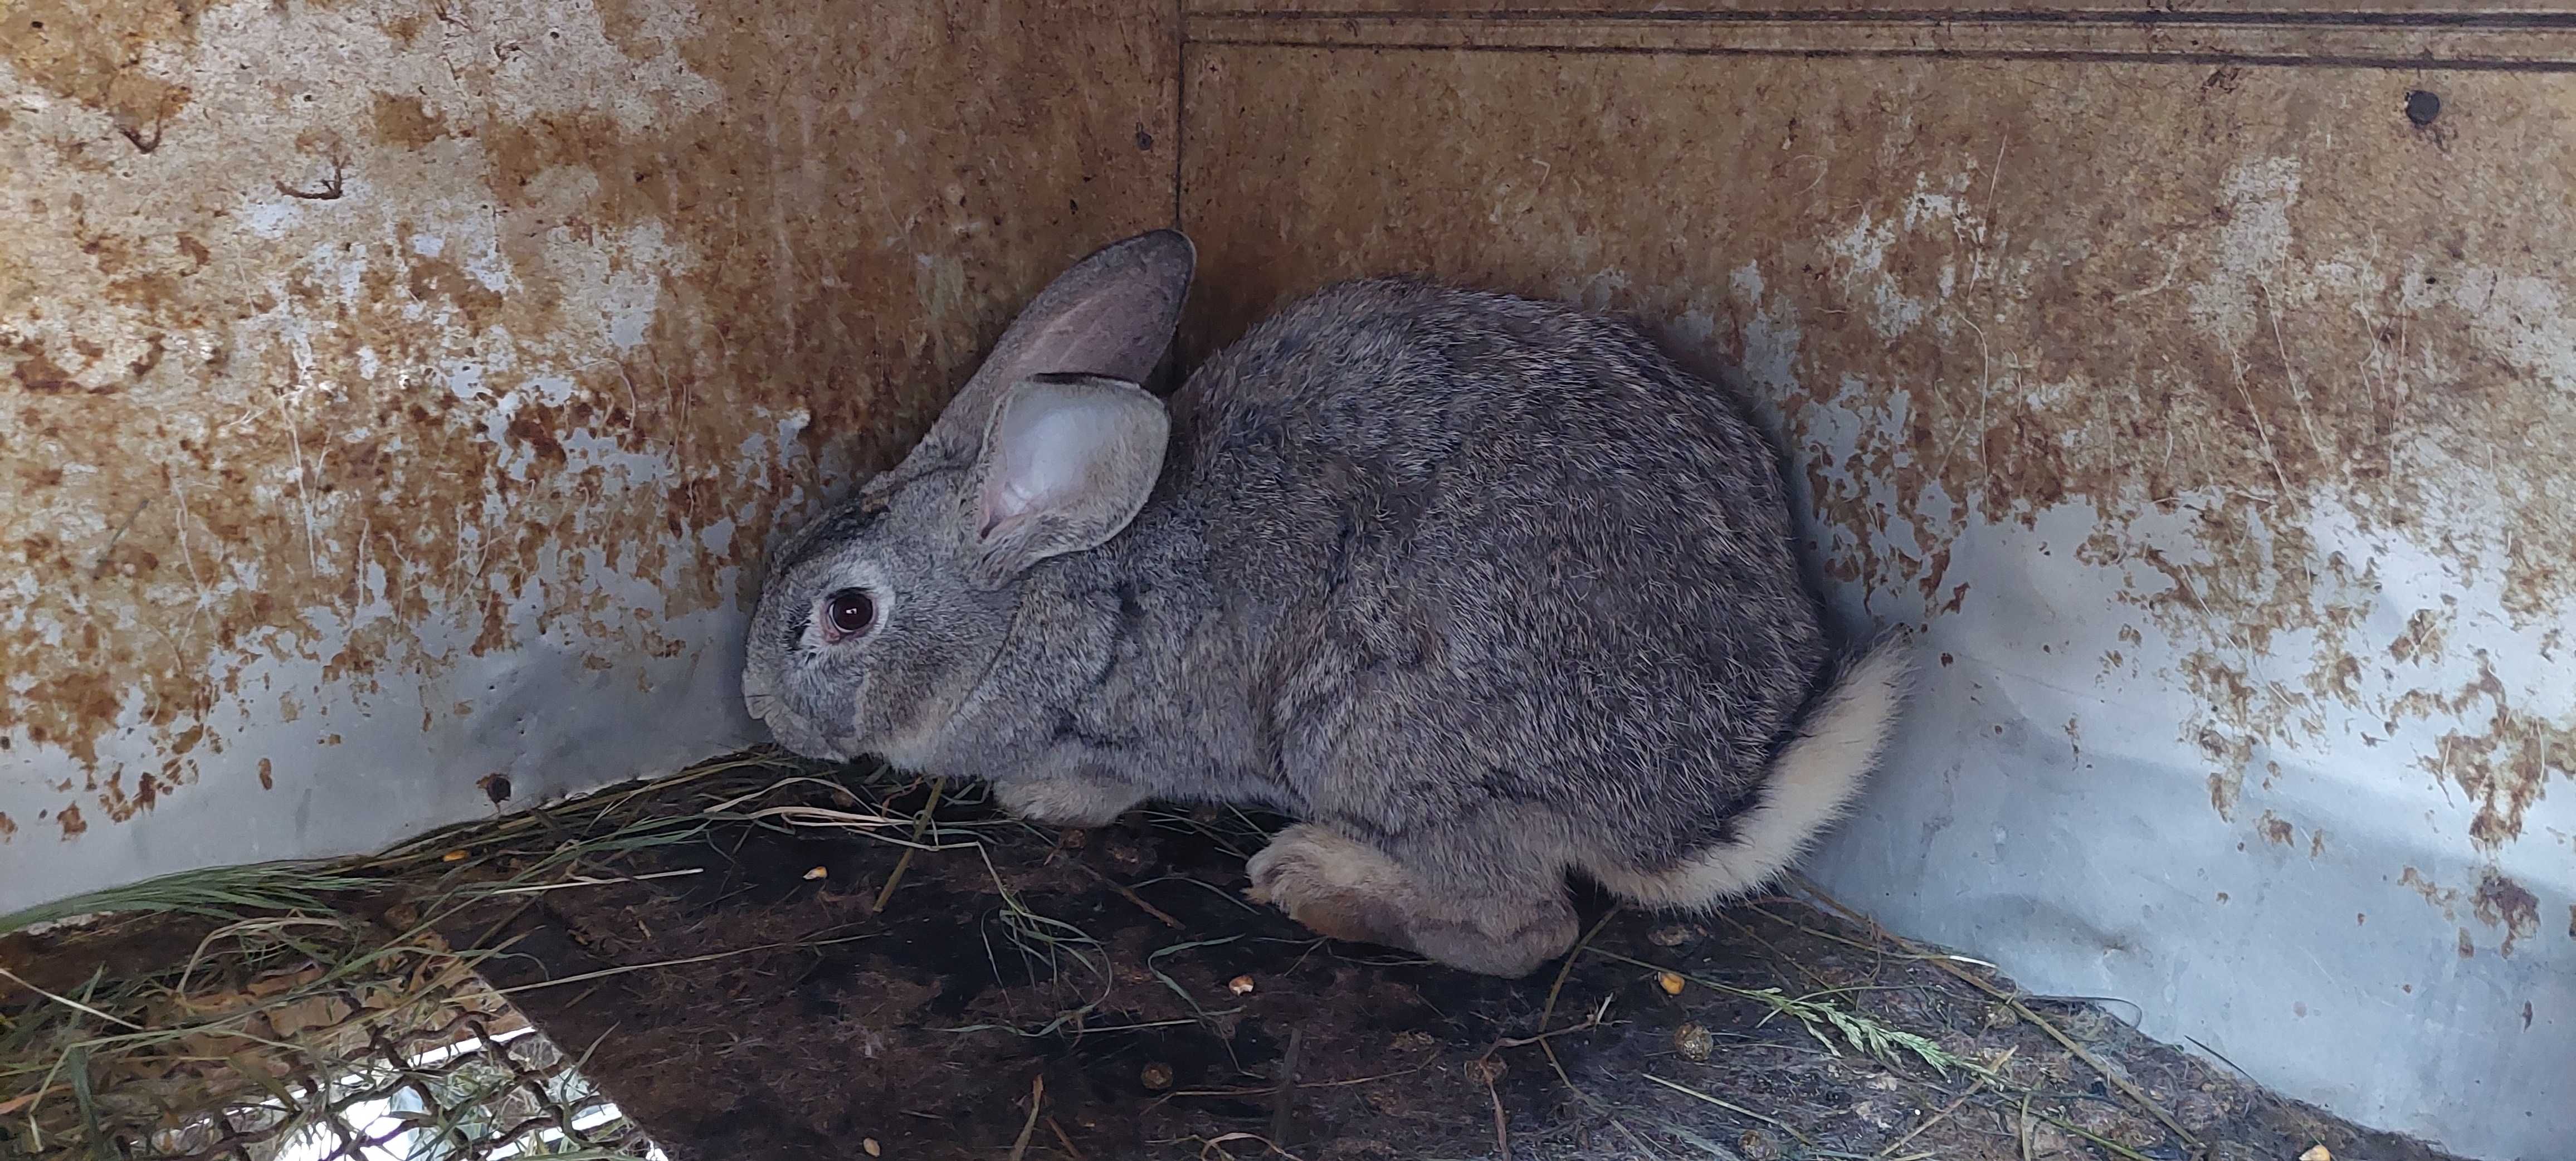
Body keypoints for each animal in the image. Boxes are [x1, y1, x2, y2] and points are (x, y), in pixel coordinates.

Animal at [736, 231, 1906, 978]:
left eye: (847, 614)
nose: (754, 701)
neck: (1047, 590)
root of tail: (1703, 801)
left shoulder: (1149, 732)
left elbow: (1109, 778)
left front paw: (1040, 798)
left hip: (1373, 742)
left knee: (1524, 925)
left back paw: (1317, 879)